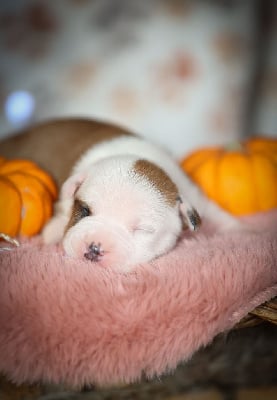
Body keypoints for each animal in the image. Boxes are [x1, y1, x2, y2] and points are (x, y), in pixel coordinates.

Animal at [40, 121, 238, 272]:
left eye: (143, 230)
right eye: (84, 210)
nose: (95, 247)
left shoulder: (193, 195)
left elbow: (215, 211)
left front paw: (238, 229)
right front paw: (55, 231)